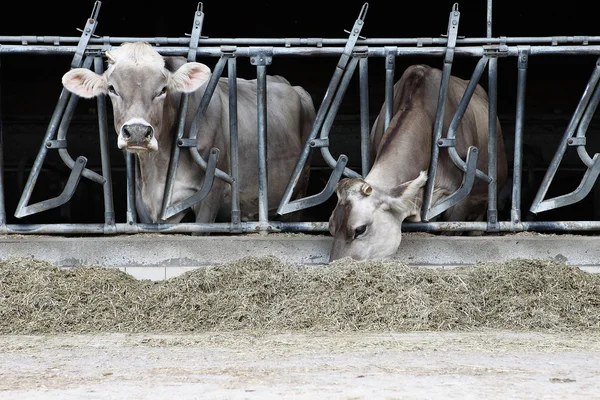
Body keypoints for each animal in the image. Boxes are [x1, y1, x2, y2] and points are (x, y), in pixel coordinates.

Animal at [59, 43, 314, 225]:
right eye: (112, 88)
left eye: (162, 89)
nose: (138, 132)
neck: (158, 170)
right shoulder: (144, 201)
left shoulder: (211, 194)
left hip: (298, 191)